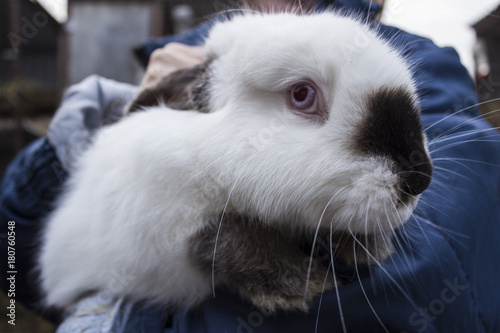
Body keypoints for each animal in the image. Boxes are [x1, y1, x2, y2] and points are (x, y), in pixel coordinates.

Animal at [39, 9, 432, 312]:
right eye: (302, 95)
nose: (420, 179)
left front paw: (367, 249)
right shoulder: (158, 227)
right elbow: (222, 234)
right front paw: (301, 286)